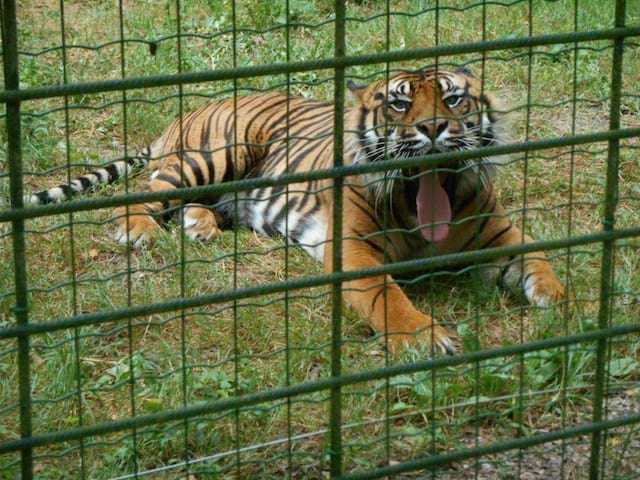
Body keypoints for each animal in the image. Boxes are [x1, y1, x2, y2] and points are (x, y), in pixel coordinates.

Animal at [27, 66, 564, 352]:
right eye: (398, 105)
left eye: (453, 100)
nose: (433, 128)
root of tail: (187, 111)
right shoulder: (353, 252)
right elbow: (387, 297)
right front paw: (422, 337)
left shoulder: (501, 237)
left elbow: (540, 261)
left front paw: (566, 307)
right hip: (215, 154)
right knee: (147, 192)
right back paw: (137, 230)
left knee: (189, 206)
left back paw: (201, 226)